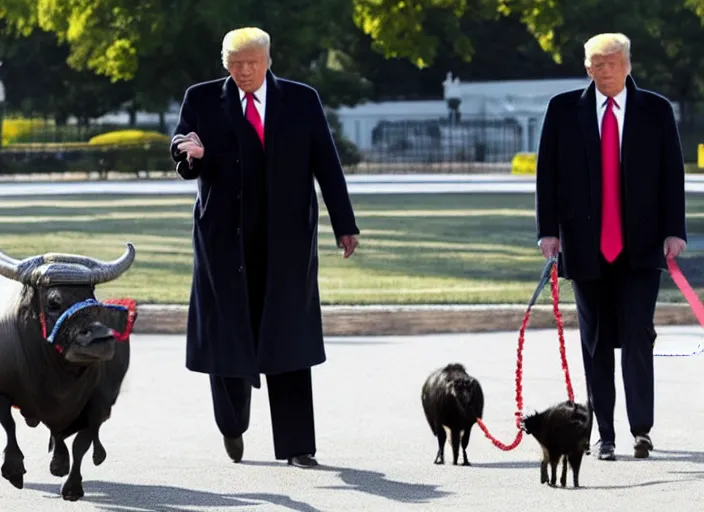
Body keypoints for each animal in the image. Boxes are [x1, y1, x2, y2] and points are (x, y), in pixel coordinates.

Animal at [0, 244, 138, 500]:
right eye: (53, 302)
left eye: (92, 300)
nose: (99, 339)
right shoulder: (3, 391)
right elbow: (9, 426)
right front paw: (14, 471)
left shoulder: (98, 405)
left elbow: (80, 444)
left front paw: (72, 486)